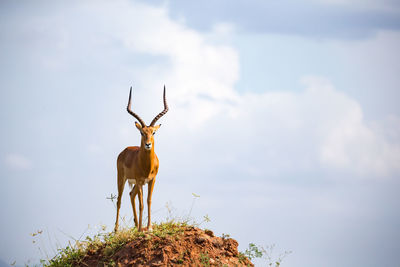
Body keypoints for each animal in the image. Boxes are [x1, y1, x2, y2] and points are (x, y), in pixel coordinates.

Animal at [114, 86, 169, 232]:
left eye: (153, 132)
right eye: (141, 132)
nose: (148, 144)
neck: (146, 166)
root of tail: (124, 151)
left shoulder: (151, 180)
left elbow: (148, 201)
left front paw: (149, 227)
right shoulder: (139, 181)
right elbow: (141, 204)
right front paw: (141, 229)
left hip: (136, 184)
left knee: (131, 195)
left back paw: (136, 225)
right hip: (122, 178)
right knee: (119, 200)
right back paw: (116, 231)